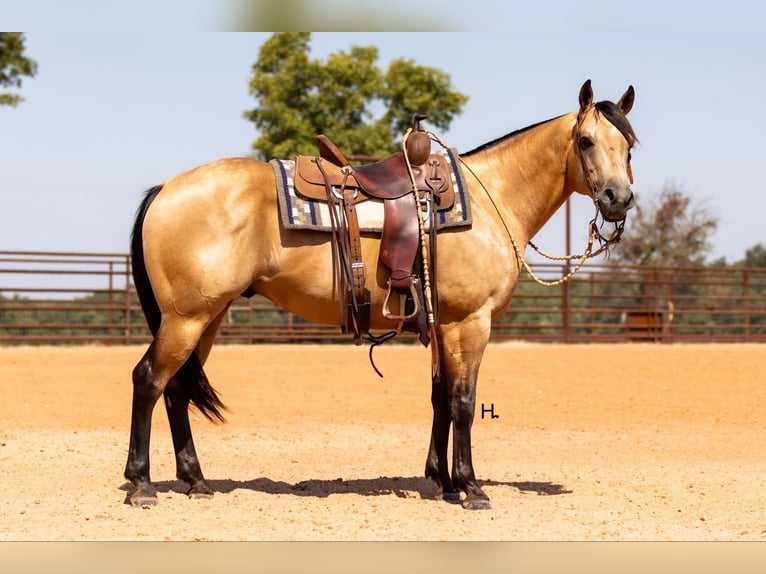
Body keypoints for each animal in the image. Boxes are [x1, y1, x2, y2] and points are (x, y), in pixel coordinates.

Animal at [124, 80, 637, 510]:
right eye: (586, 141)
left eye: (629, 145)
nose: (619, 198)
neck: (491, 202)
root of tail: (165, 189)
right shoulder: (471, 321)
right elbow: (464, 402)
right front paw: (470, 487)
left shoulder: (442, 323)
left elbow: (440, 399)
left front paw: (443, 482)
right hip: (186, 318)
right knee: (149, 380)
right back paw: (142, 484)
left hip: (207, 318)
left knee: (176, 388)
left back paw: (196, 481)